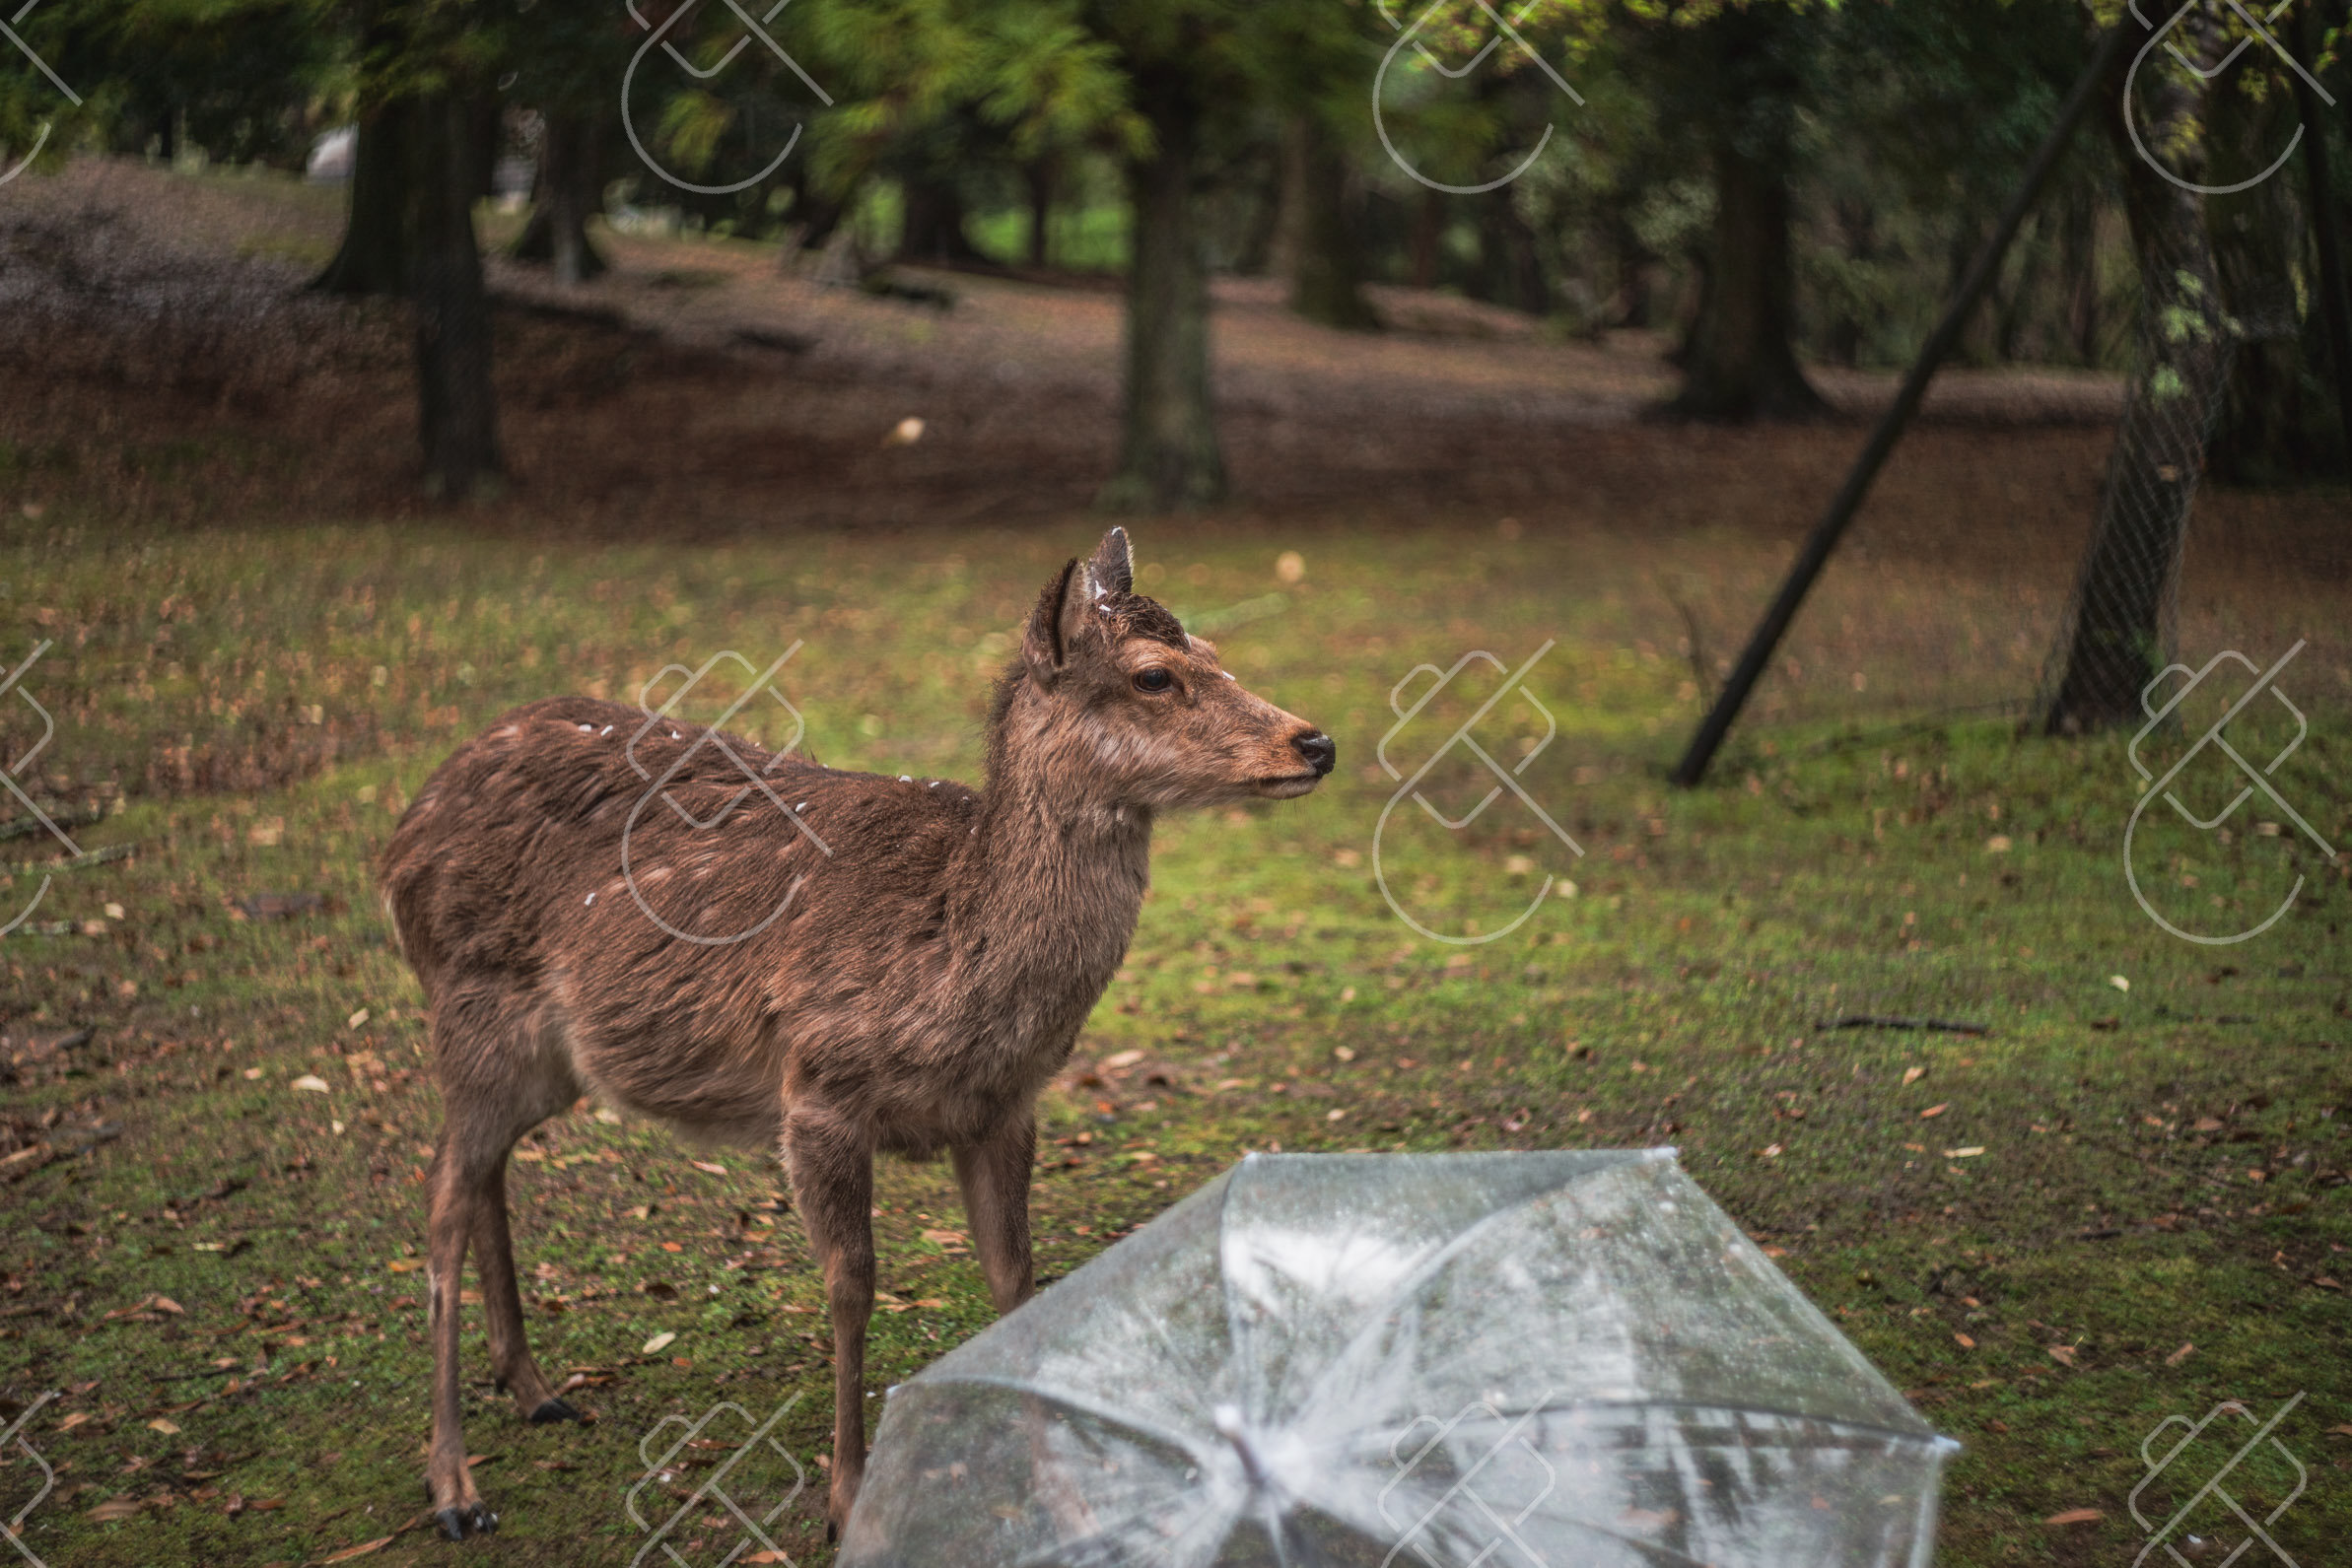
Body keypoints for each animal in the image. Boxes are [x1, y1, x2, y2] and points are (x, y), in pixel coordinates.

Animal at [378, 528, 1335, 1541]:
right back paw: (455, 1488)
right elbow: (852, 1284)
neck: (952, 963)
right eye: (1155, 674)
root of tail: (399, 841)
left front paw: (1067, 1502)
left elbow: (1016, 1278)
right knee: (441, 1190)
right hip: (472, 1002)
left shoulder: (1006, 1105)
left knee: (481, 1169)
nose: (1315, 740)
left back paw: (535, 1389)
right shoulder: (817, 1087)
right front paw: (846, 1499)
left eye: (1217, 652)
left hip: (543, 1057)